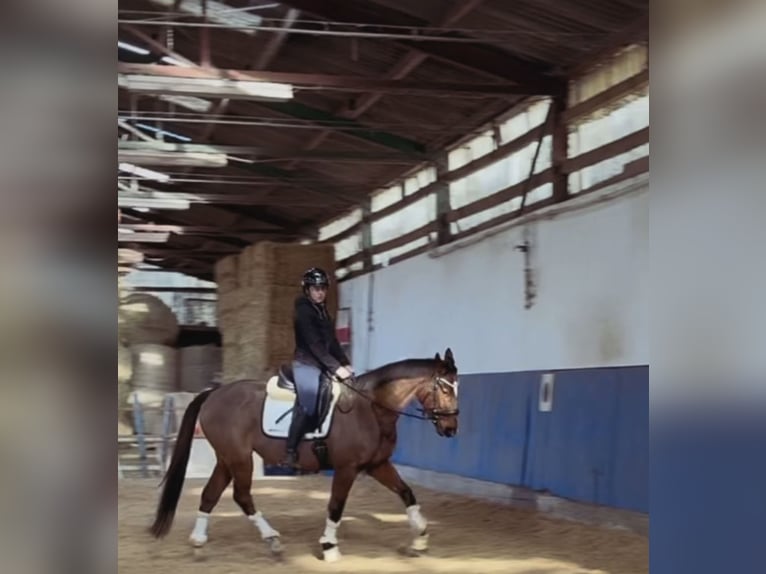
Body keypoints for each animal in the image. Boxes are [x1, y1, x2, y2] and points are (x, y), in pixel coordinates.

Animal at [150, 346, 462, 564]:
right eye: (445, 388)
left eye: (458, 387)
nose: (451, 428)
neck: (370, 409)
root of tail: (214, 393)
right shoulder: (347, 467)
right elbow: (336, 506)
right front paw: (329, 547)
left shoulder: (377, 464)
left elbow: (407, 493)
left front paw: (420, 539)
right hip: (239, 458)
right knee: (242, 496)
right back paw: (272, 540)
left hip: (227, 459)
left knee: (210, 494)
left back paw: (199, 542)